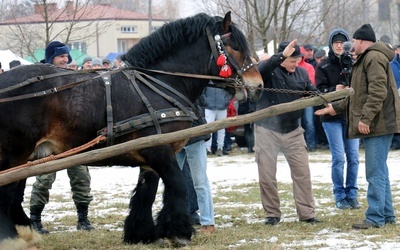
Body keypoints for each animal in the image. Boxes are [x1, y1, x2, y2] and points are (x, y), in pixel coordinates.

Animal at [0, 11, 262, 248]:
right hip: (15, 154)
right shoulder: (161, 152)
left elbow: (146, 192)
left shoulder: (150, 156)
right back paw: (12, 238)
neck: (159, 84)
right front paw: (178, 232)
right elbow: (177, 184)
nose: (258, 85)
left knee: (15, 194)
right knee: (6, 193)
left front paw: (142, 233)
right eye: (235, 47)